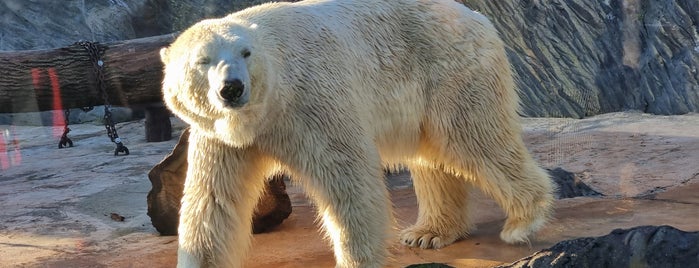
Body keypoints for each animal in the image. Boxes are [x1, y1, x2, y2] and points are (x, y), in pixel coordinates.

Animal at [161, 0, 556, 266]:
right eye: (202, 60)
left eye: (245, 52)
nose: (232, 88)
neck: (266, 111)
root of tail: (477, 17)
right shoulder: (218, 137)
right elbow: (213, 202)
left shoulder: (311, 102)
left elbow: (346, 176)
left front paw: (357, 258)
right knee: (432, 157)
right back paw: (429, 233)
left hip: (450, 70)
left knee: (474, 139)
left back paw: (523, 221)